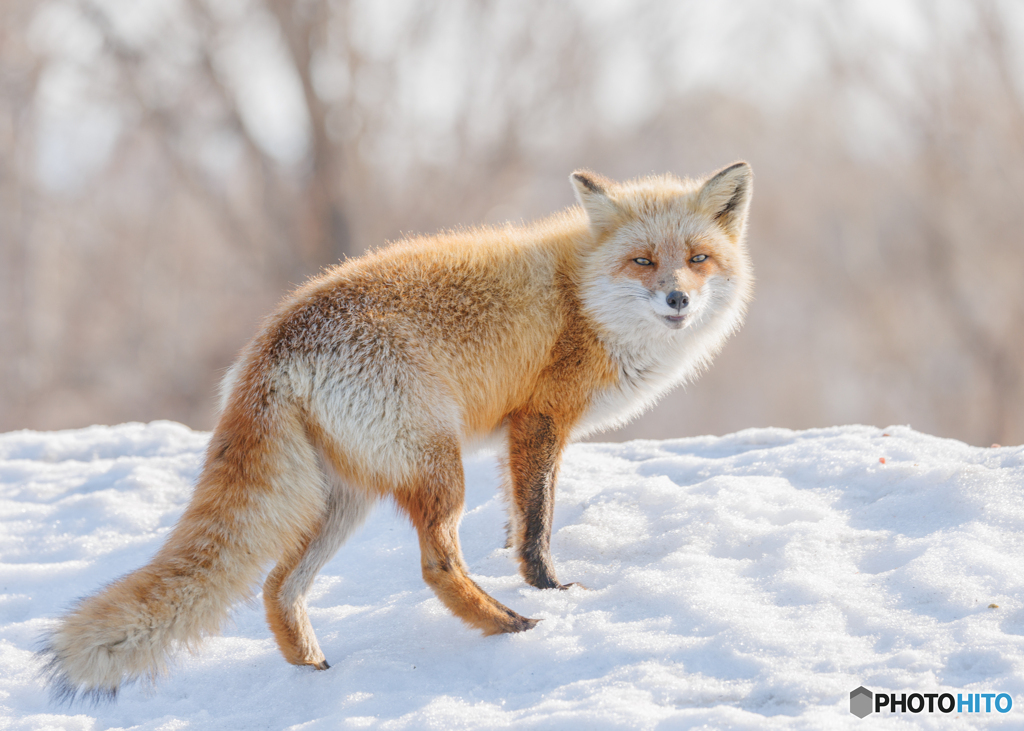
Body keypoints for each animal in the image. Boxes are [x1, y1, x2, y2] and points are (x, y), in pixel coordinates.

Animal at [41, 160, 753, 700]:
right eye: (642, 261)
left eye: (698, 259)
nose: (678, 300)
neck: (581, 297)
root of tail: (272, 343)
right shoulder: (540, 418)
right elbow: (537, 522)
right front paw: (548, 585)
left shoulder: (522, 433)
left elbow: (516, 518)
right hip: (438, 469)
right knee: (435, 565)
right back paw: (511, 625)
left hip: (343, 498)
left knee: (277, 585)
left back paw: (312, 668)